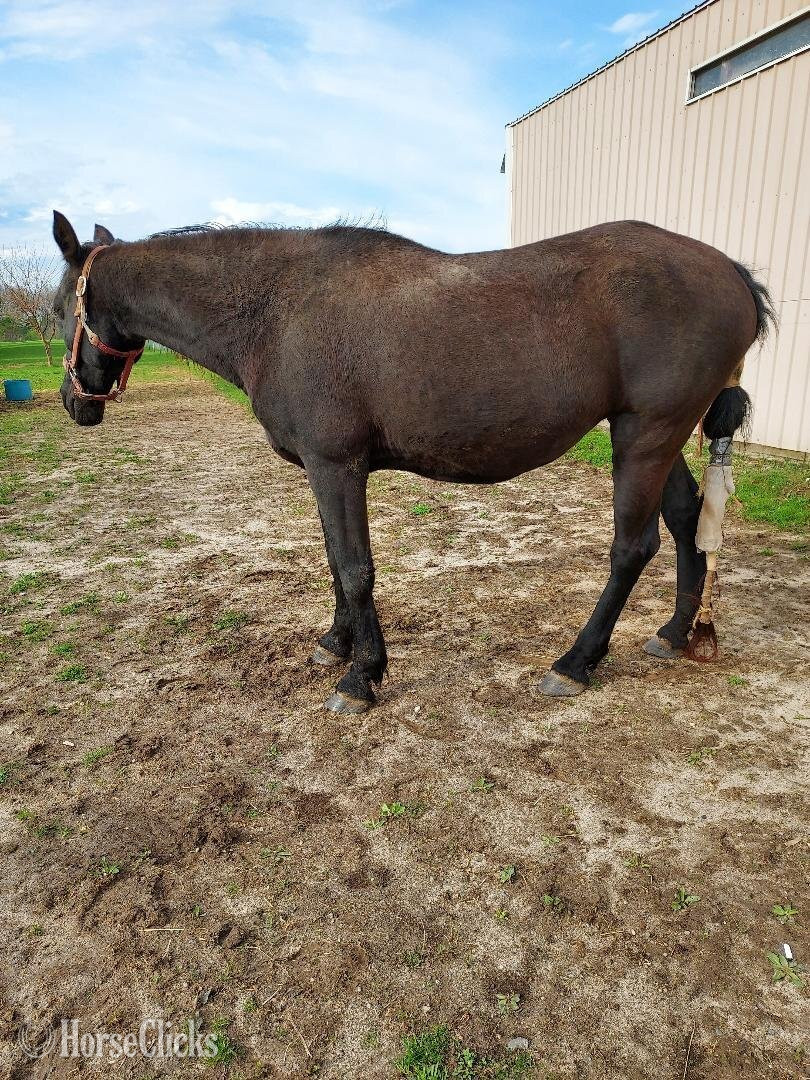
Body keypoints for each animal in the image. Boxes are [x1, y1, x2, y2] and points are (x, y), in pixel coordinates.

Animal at [52, 210, 774, 713]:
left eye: (61, 308)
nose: (72, 402)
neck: (276, 310)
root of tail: (732, 273)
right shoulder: (326, 472)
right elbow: (335, 563)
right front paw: (337, 643)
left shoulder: (336, 465)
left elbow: (354, 568)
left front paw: (362, 676)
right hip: (657, 434)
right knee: (686, 522)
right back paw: (675, 631)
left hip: (647, 433)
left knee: (633, 546)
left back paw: (574, 663)